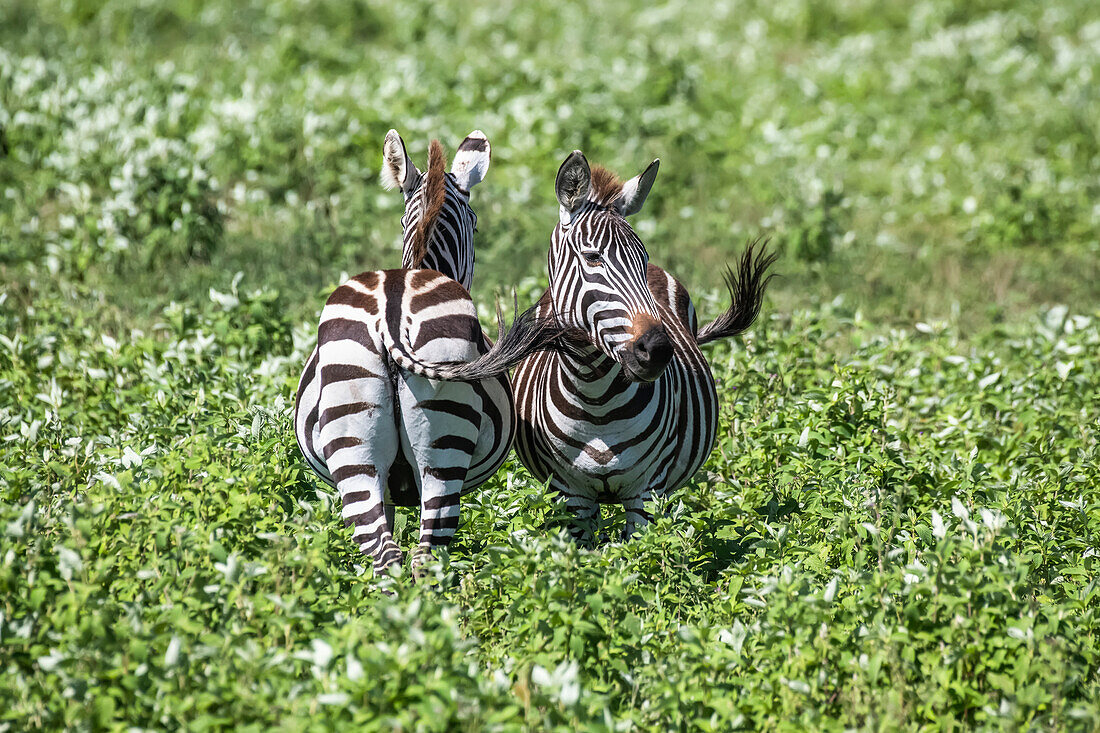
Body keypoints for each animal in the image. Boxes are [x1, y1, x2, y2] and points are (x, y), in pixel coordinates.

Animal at [294, 129, 558, 576]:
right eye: (475, 224)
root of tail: (390, 318)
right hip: (442, 449)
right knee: (425, 556)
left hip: (355, 449)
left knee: (387, 556)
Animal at [512, 148, 778, 539]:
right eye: (592, 257)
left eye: (642, 258)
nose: (658, 351)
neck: (595, 398)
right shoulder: (572, 495)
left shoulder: (648, 491)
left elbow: (643, 555)